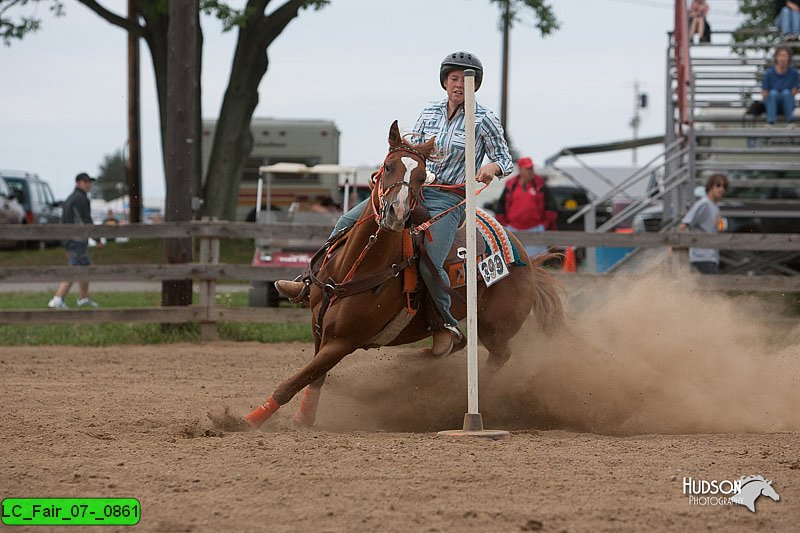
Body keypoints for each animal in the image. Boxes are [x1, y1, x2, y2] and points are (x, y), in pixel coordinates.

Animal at [244, 120, 564, 428]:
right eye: (388, 167)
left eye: (422, 176)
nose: (396, 213)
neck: (356, 266)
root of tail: (525, 258)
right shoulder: (319, 328)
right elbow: (314, 377)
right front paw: (304, 418)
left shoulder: (344, 341)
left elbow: (295, 381)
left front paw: (245, 421)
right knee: (459, 347)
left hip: (494, 327)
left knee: (499, 356)